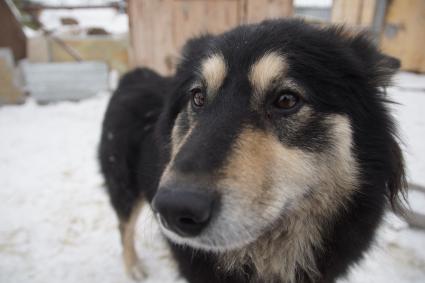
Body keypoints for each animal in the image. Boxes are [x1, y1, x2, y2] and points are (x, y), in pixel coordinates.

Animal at [98, 18, 404, 282]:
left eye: (286, 100)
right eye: (197, 97)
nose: (174, 209)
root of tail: (135, 75)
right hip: (125, 188)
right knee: (124, 228)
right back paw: (133, 267)